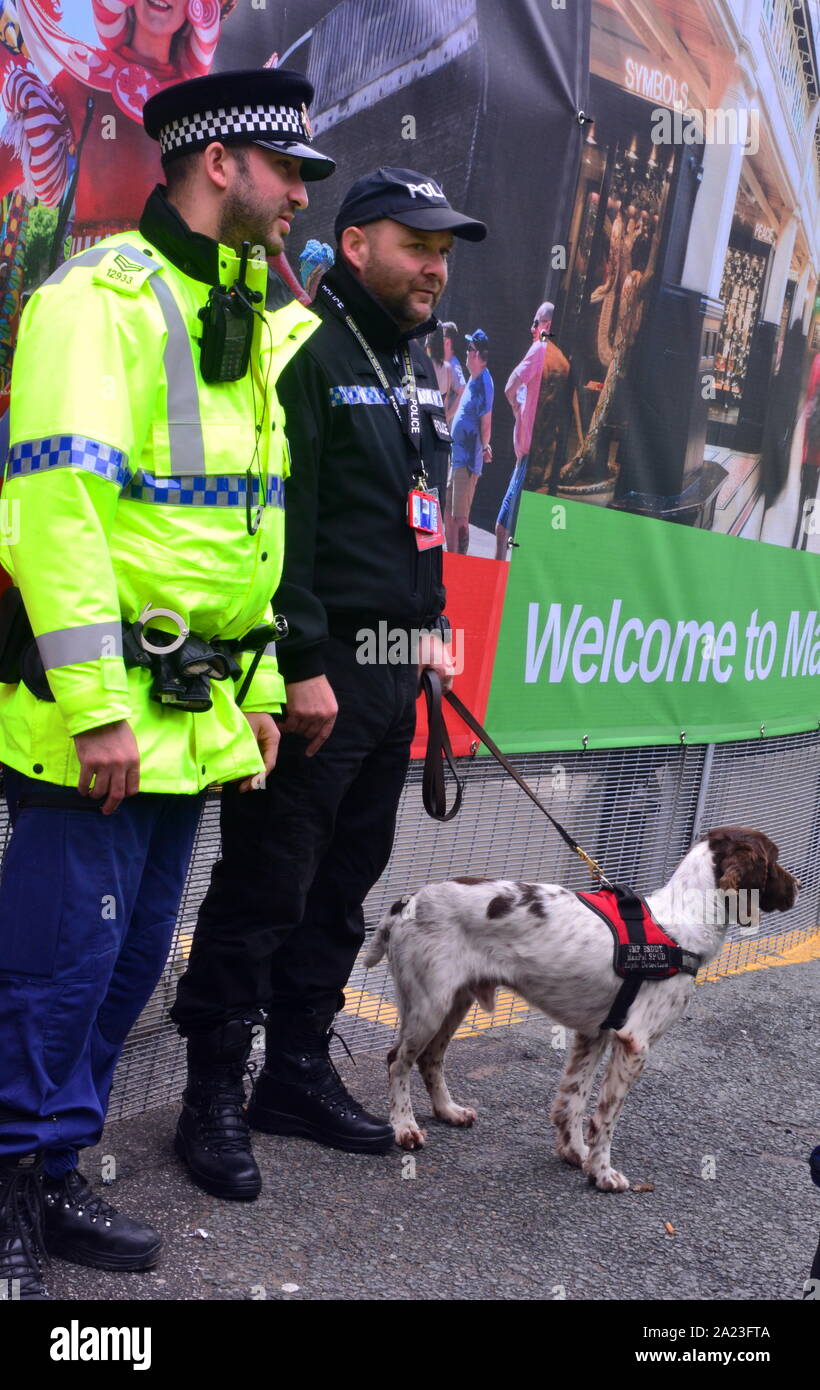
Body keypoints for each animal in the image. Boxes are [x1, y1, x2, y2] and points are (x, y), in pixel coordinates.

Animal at [366, 828, 806, 1189]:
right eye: (774, 859)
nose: (799, 885)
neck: (680, 924)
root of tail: (406, 901)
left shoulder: (594, 1033)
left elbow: (573, 1101)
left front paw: (573, 1153)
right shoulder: (634, 1043)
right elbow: (605, 1117)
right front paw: (601, 1172)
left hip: (455, 1002)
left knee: (430, 1060)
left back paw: (448, 1111)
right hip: (430, 1004)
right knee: (396, 1061)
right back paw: (404, 1127)